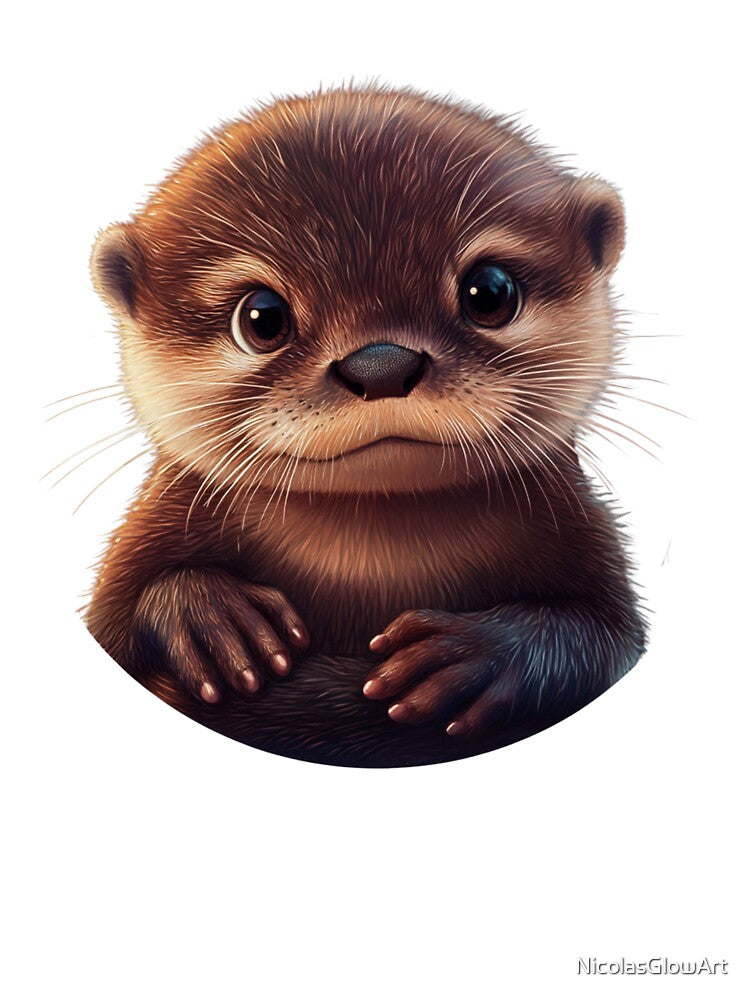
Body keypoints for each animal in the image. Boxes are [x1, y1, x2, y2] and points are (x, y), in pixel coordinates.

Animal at [87, 85, 646, 767]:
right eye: (261, 317)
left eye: (490, 291)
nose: (382, 363)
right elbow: (120, 616)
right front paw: (206, 616)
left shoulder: (593, 553)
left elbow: (601, 638)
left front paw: (473, 659)